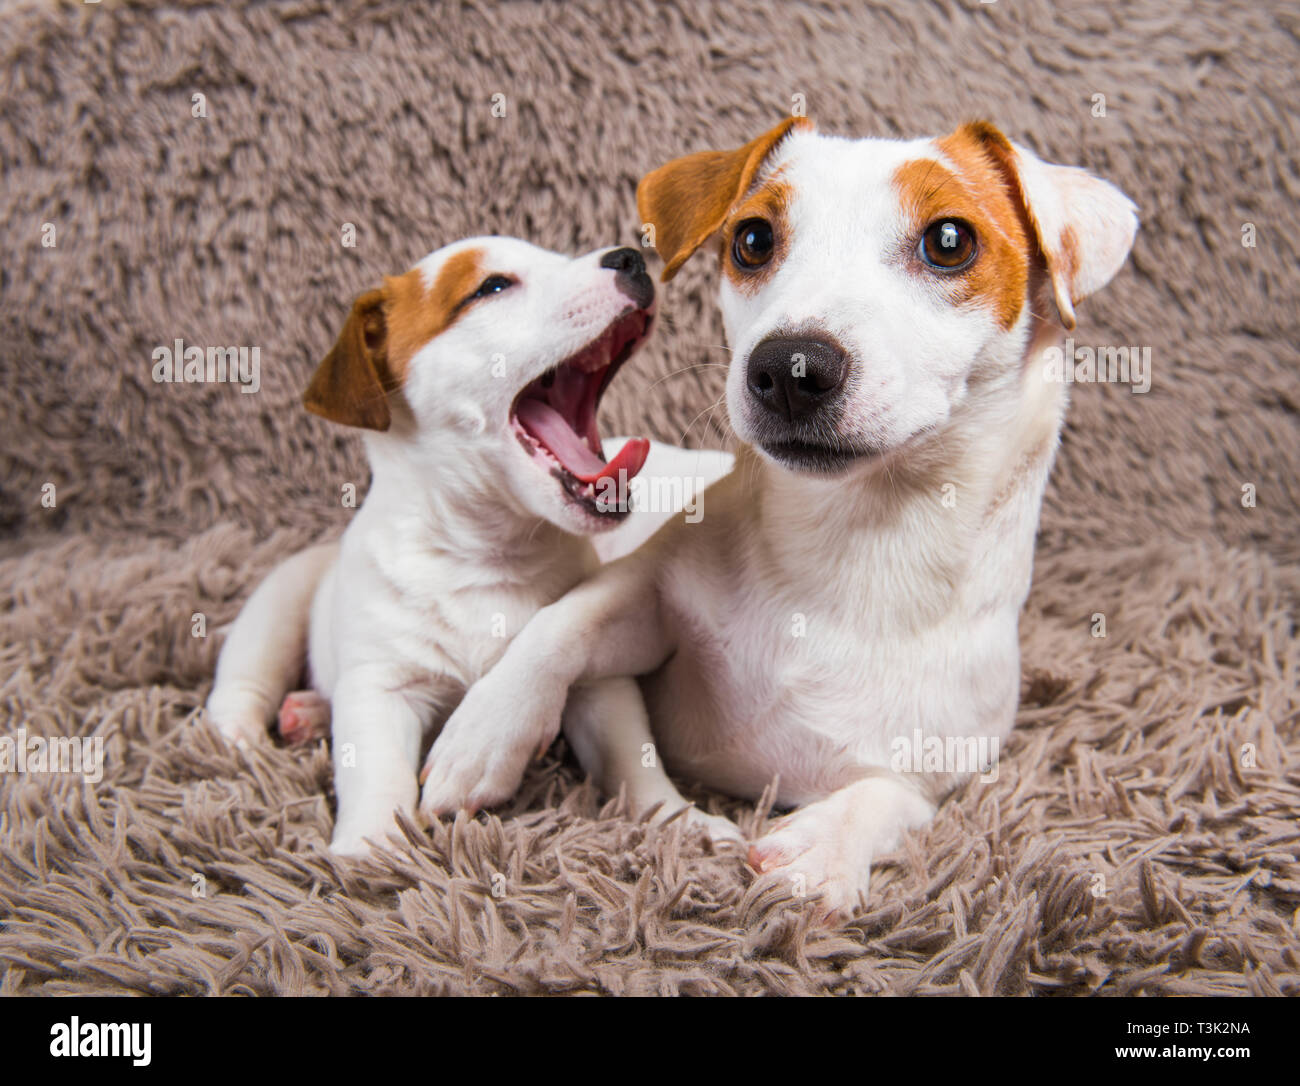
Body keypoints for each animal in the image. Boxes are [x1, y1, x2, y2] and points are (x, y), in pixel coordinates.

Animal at [205, 238, 733, 858]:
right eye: (492, 287)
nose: (631, 257)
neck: (491, 550)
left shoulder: (597, 685)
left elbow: (633, 758)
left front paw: (683, 820)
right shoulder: (381, 687)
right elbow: (376, 772)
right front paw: (369, 850)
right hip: (280, 599)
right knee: (244, 678)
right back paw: (248, 733)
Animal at [416, 120, 1138, 915]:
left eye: (950, 240)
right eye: (754, 239)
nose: (792, 366)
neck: (848, 545)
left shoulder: (935, 774)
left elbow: (887, 800)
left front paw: (821, 850)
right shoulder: (647, 593)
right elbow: (563, 624)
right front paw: (486, 731)